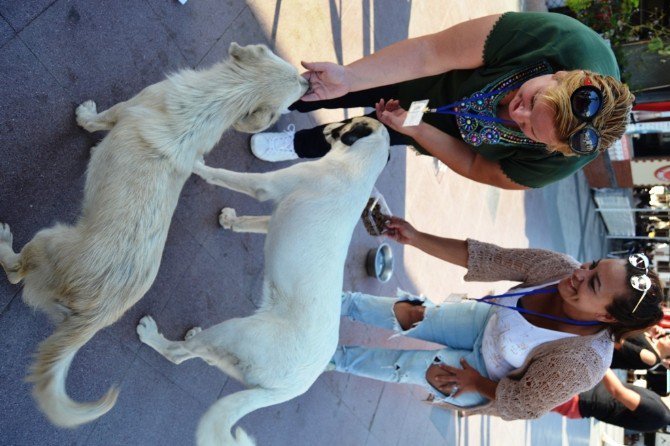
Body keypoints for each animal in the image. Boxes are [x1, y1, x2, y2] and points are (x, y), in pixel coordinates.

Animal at [0, 42, 308, 428]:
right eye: (297, 81)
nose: (311, 84)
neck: (219, 98)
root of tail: (95, 314)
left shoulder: (125, 108)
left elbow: (97, 120)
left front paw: (85, 116)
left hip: (46, 239)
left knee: (15, 272)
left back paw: (4, 242)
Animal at [139, 116, 392, 444]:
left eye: (347, 122)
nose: (326, 127)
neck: (358, 169)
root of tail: (294, 387)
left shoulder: (263, 185)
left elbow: (222, 175)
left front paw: (196, 164)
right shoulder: (274, 215)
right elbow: (249, 222)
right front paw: (230, 220)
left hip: (236, 331)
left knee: (177, 355)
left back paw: (152, 336)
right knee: (198, 355)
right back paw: (191, 336)